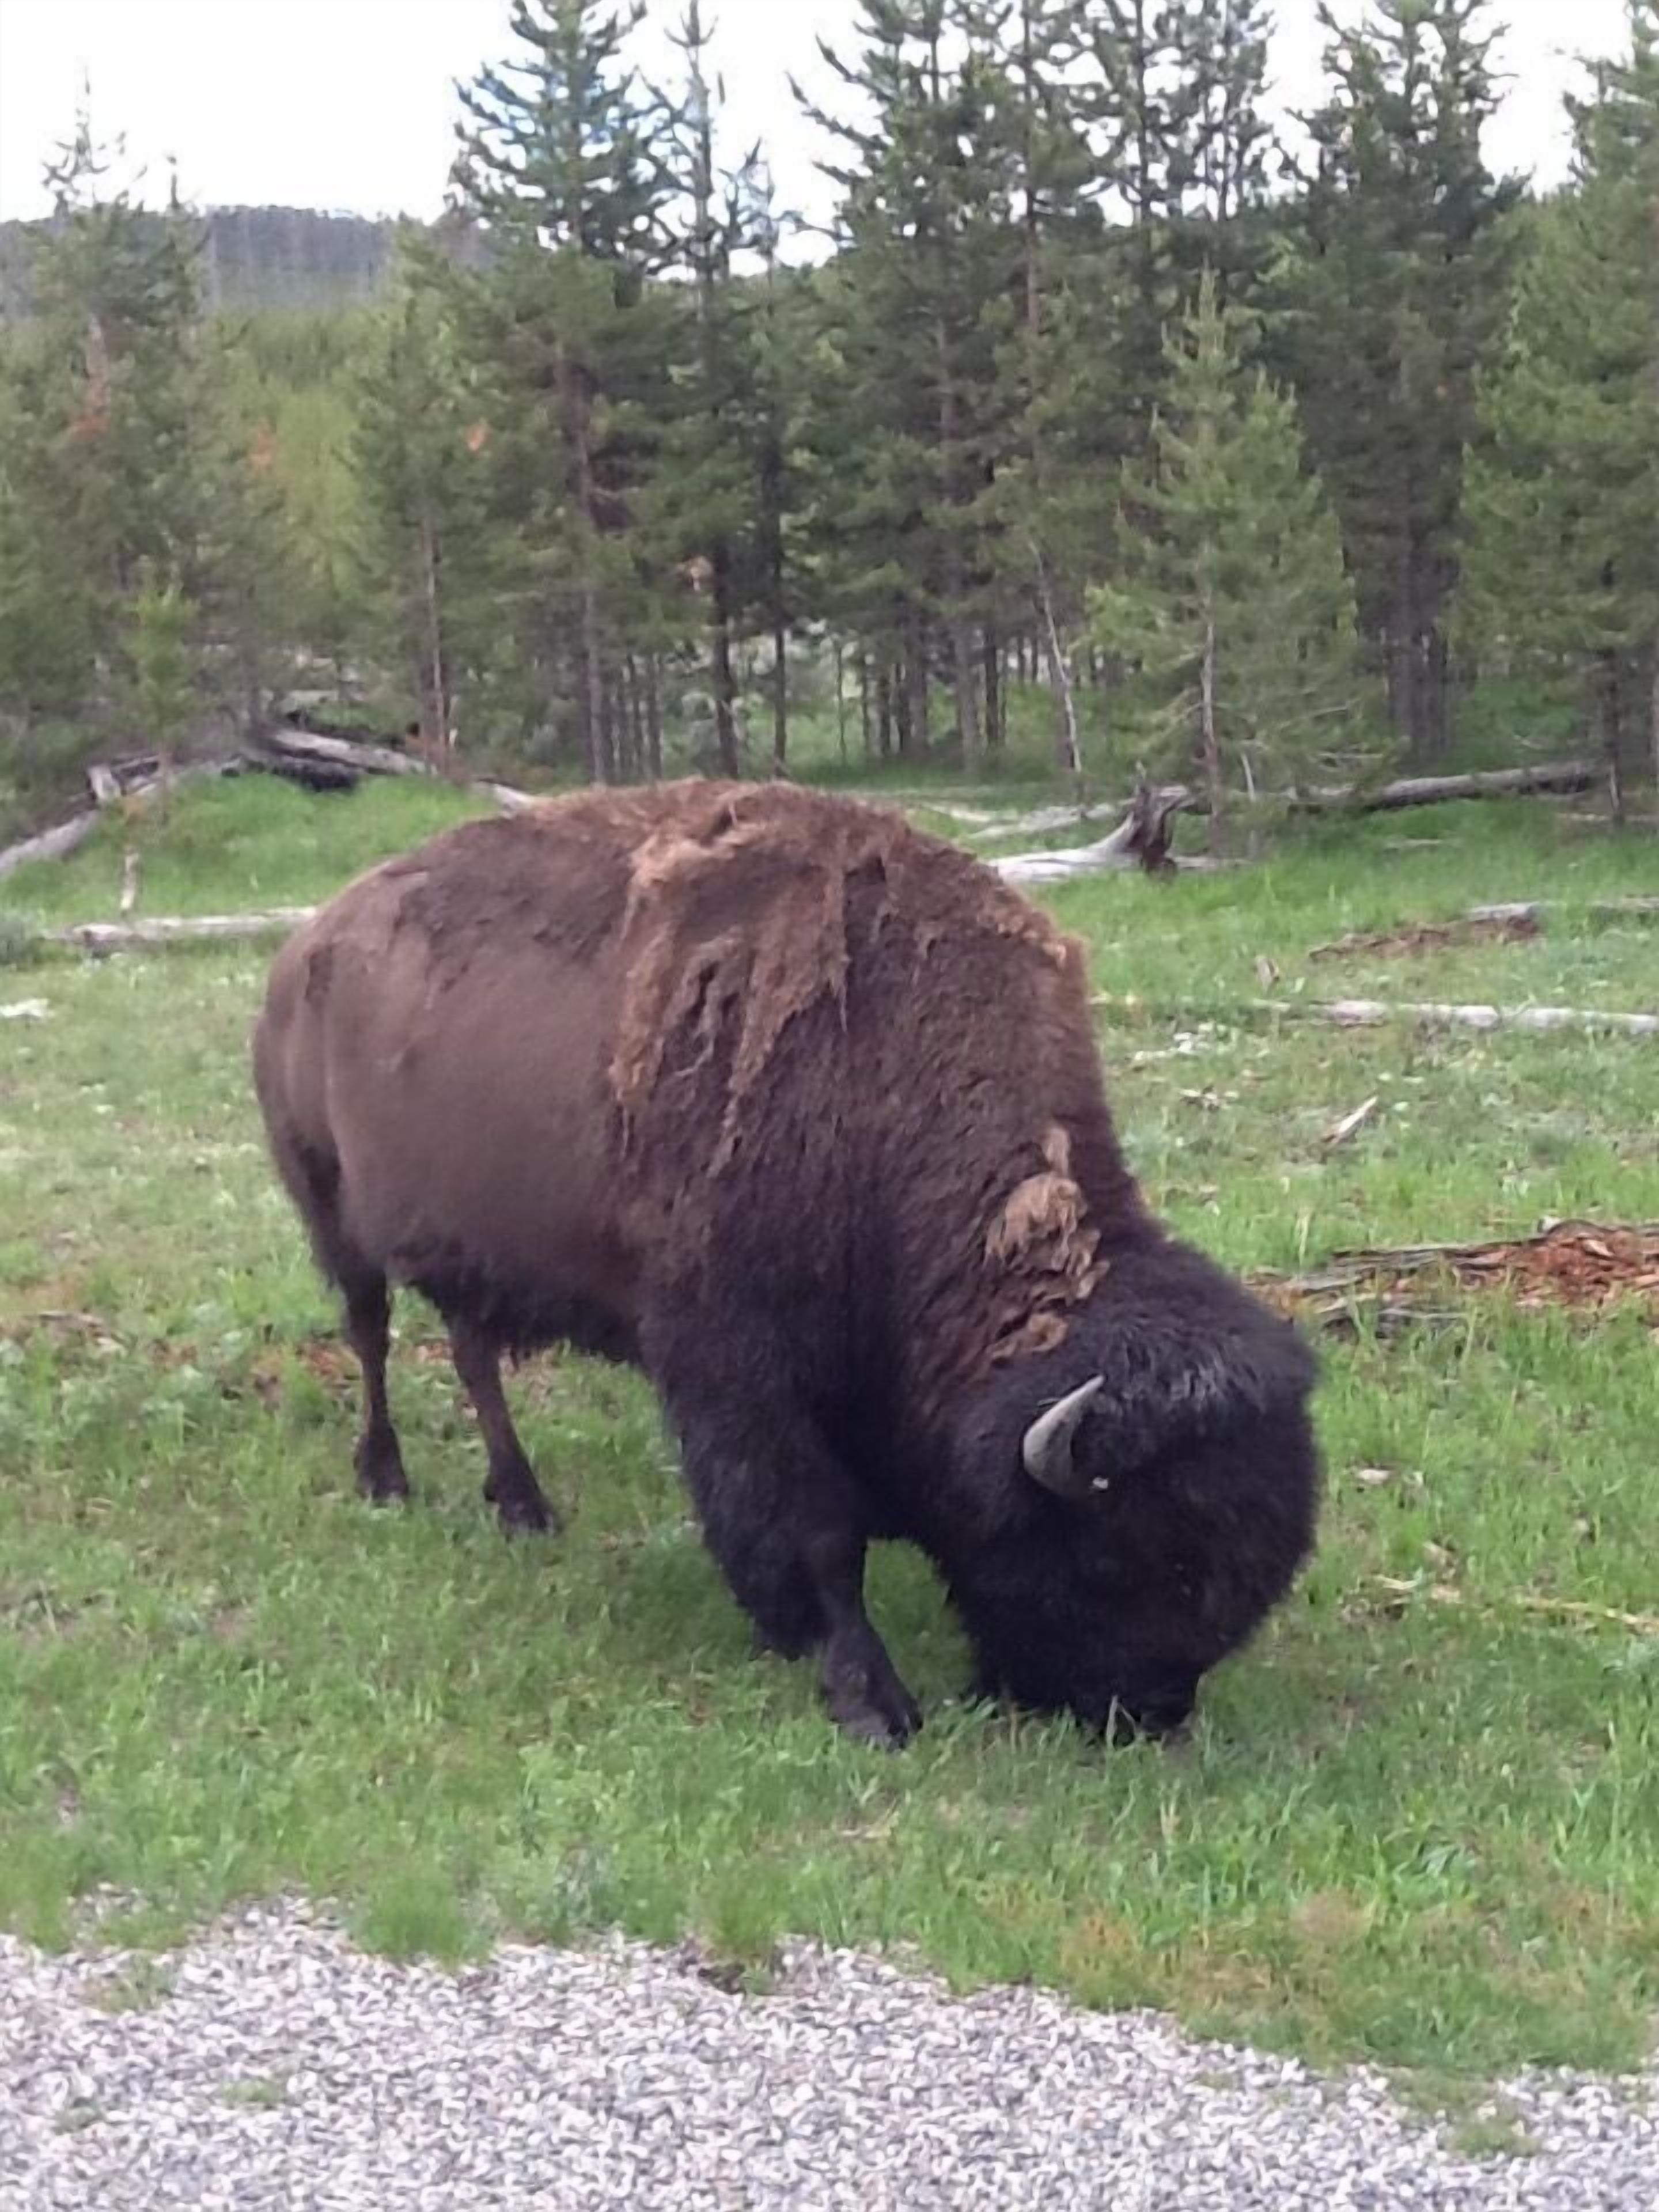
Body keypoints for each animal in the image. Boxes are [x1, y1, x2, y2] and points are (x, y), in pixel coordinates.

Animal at [252, 780, 1319, 1747]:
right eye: (1117, 1554)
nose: (1145, 1713)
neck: (884, 1085)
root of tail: (303, 951)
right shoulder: (739, 1372)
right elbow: (814, 1535)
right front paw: (871, 1702)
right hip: (329, 1211)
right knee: (371, 1334)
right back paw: (386, 1480)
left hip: (469, 1257)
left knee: (474, 1355)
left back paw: (524, 1506)